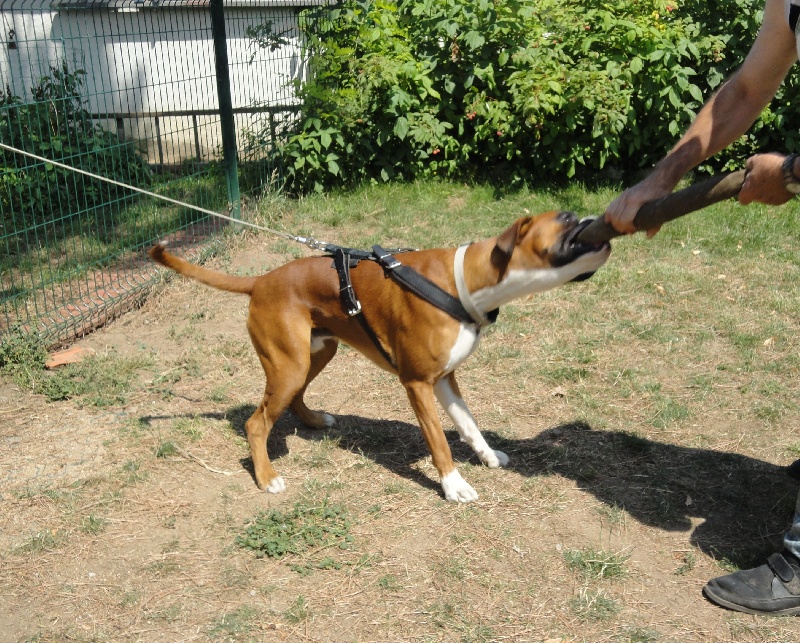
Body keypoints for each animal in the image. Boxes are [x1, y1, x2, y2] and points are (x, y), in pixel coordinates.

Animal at [150, 211, 608, 504]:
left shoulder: (446, 378)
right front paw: (453, 486)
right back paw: (267, 477)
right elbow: (440, 440)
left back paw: (314, 421)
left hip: (316, 354)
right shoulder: (418, 384)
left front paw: (488, 456)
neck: (464, 282)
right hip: (289, 365)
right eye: (567, 218)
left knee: (294, 400)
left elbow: (467, 424)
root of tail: (260, 281)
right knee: (256, 423)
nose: (597, 218)